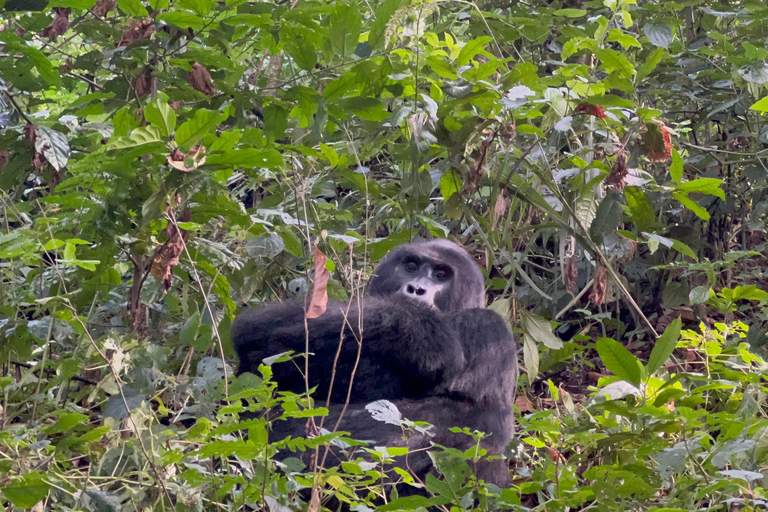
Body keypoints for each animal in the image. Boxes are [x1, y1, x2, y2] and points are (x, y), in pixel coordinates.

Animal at [231, 239, 520, 488]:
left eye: (441, 275)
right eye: (411, 266)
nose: (416, 289)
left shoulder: (489, 327)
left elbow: (478, 423)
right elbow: (257, 336)